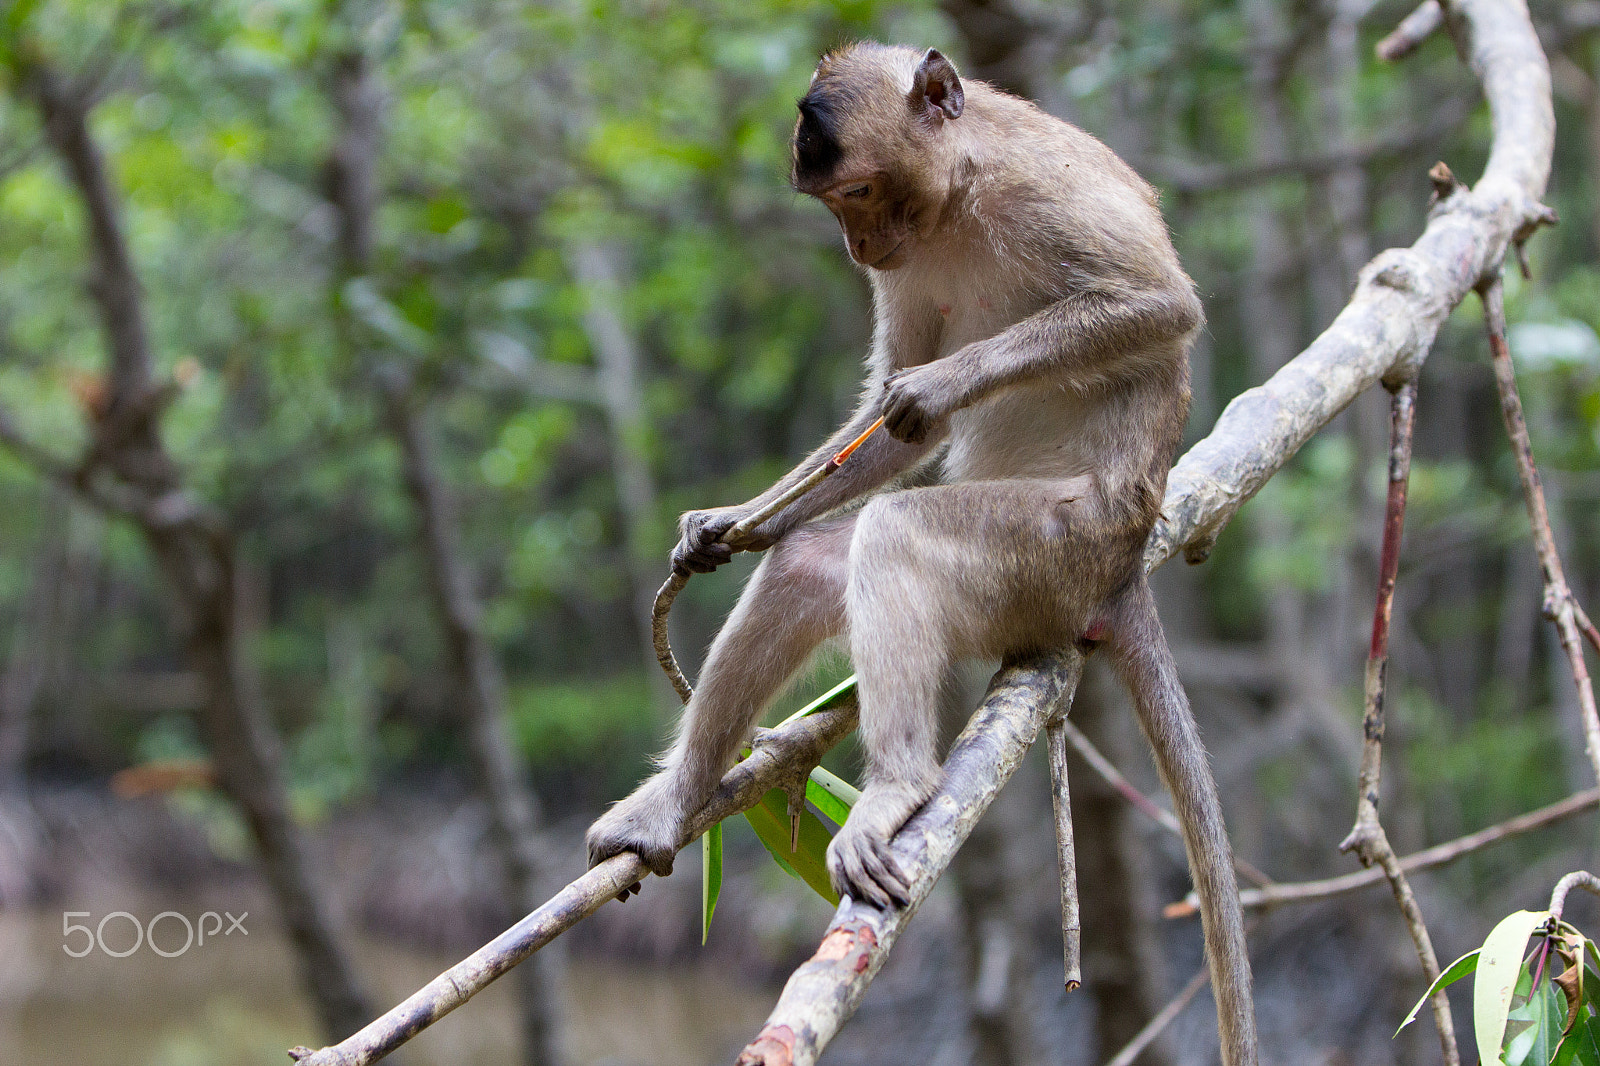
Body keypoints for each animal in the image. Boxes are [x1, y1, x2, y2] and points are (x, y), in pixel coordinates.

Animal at [582, 43, 1254, 1062]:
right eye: (833, 205)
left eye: (859, 190)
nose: (859, 248)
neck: (964, 188)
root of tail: (1124, 566)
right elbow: (882, 436)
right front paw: (734, 522)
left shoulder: (1049, 191)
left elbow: (1160, 305)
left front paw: (941, 384)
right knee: (815, 565)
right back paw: (678, 800)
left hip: (1052, 551)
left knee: (899, 534)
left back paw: (897, 788)